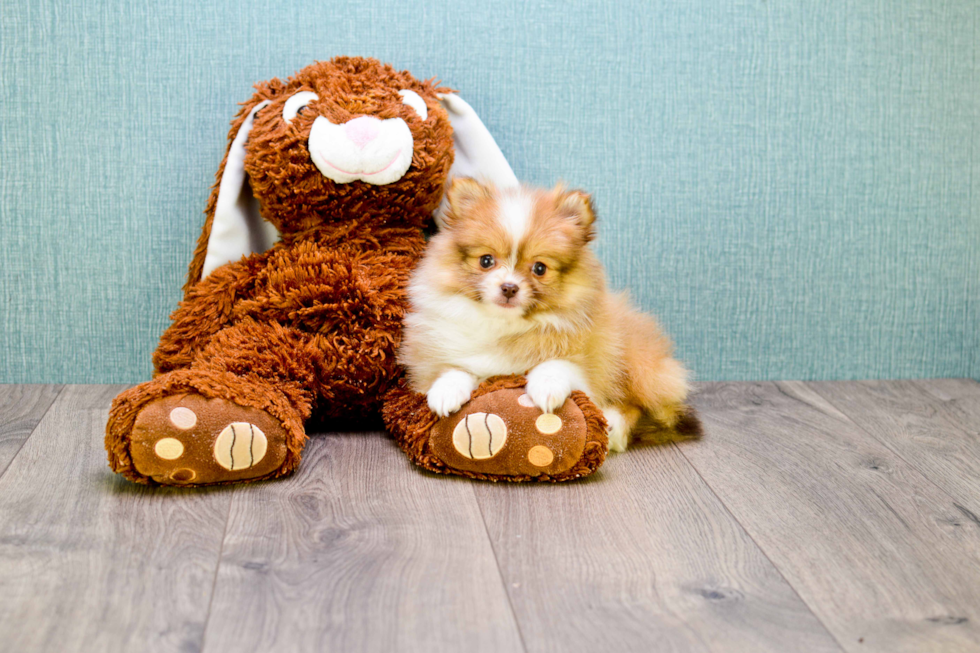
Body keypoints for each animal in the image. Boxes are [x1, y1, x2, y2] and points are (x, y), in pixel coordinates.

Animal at [398, 178, 688, 454]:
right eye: (486, 261)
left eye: (539, 268)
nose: (509, 287)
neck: (505, 325)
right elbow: (454, 367)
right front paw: (446, 391)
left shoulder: (589, 361)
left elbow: (556, 364)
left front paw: (546, 388)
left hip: (636, 363)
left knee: (643, 407)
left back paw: (613, 428)